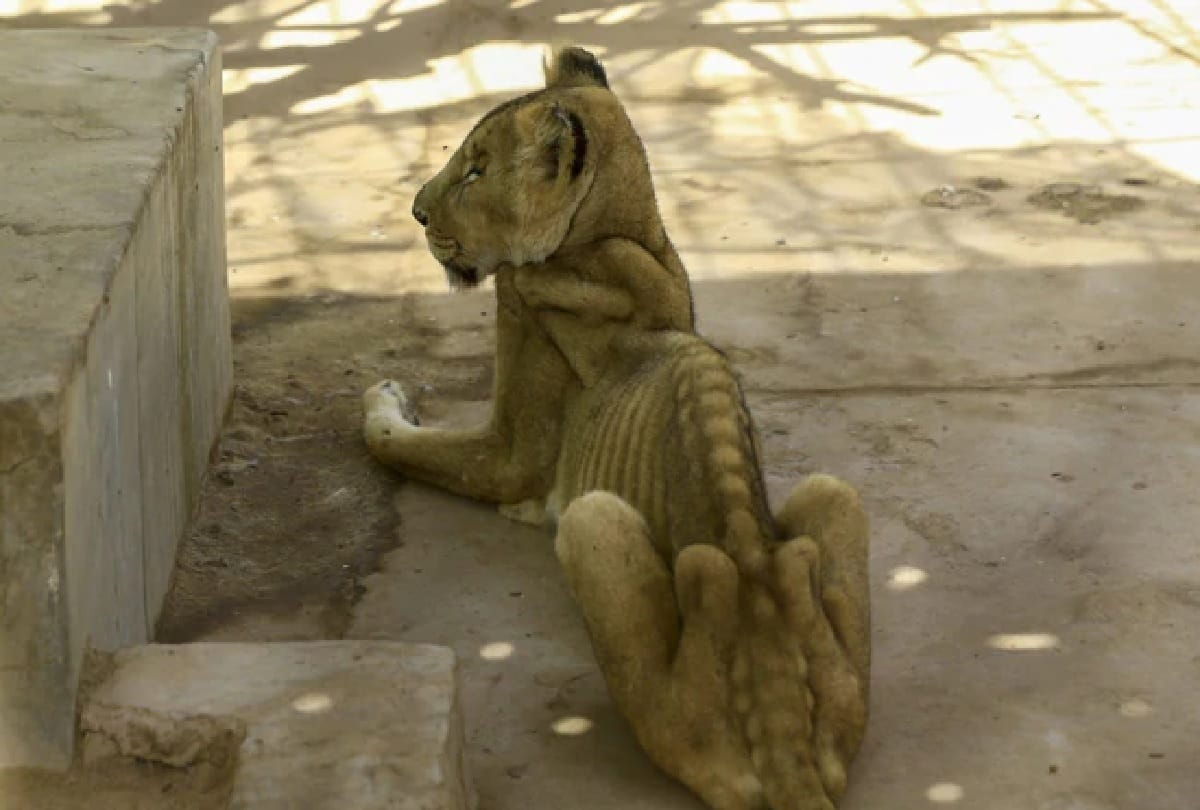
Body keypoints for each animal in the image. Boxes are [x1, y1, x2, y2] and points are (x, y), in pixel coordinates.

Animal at [363, 46, 871, 810]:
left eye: (477, 170)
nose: (416, 210)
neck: (618, 237)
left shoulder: (509, 447)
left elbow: (401, 443)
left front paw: (381, 395)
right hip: (835, 500)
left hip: (592, 524)